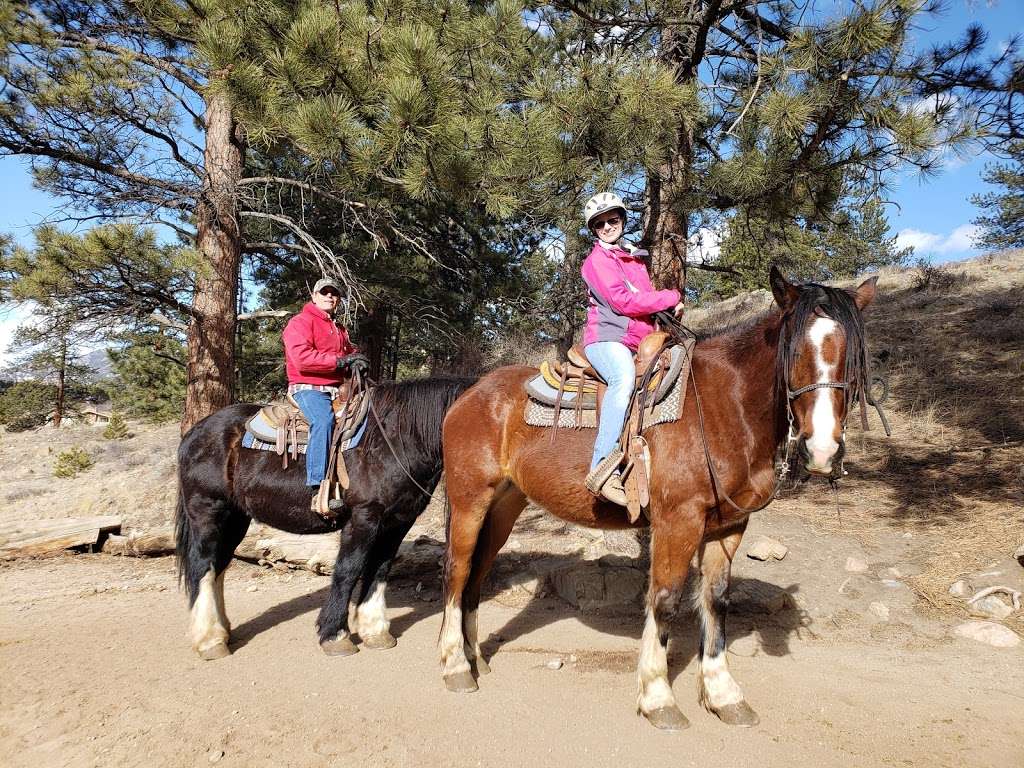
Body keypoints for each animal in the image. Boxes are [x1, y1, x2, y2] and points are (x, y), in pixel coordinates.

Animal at [436, 268, 876, 733]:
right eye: (794, 351)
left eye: (852, 356)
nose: (823, 450)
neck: (725, 407)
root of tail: (470, 391)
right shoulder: (678, 521)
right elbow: (664, 599)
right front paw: (657, 696)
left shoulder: (729, 526)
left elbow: (716, 600)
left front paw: (723, 694)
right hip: (469, 502)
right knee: (457, 570)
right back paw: (455, 667)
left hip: (504, 506)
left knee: (478, 573)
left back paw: (475, 659)